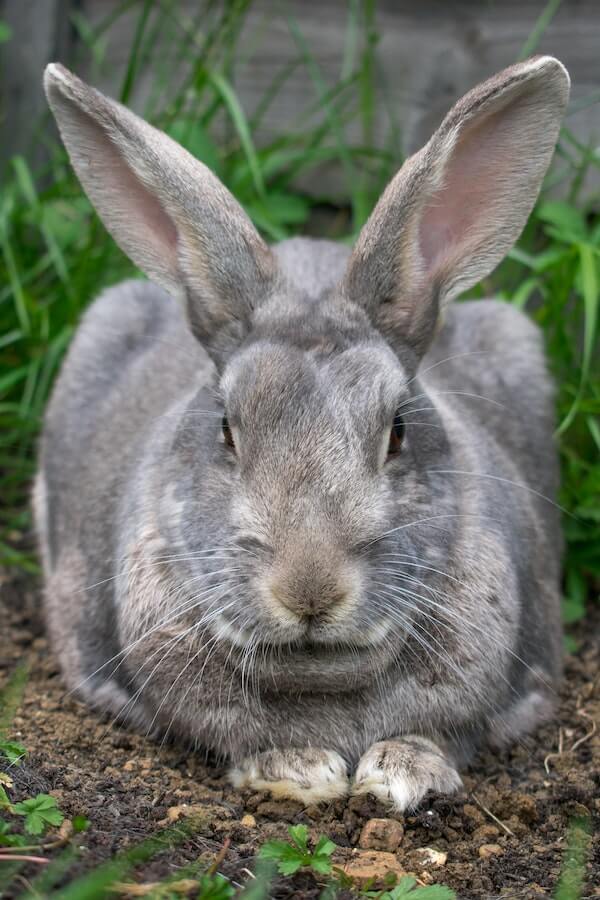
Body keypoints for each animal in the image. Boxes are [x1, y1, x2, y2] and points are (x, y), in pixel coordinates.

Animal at [35, 55, 569, 811]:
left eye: (397, 430)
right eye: (227, 430)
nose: (309, 590)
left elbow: (441, 733)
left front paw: (402, 775)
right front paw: (300, 770)